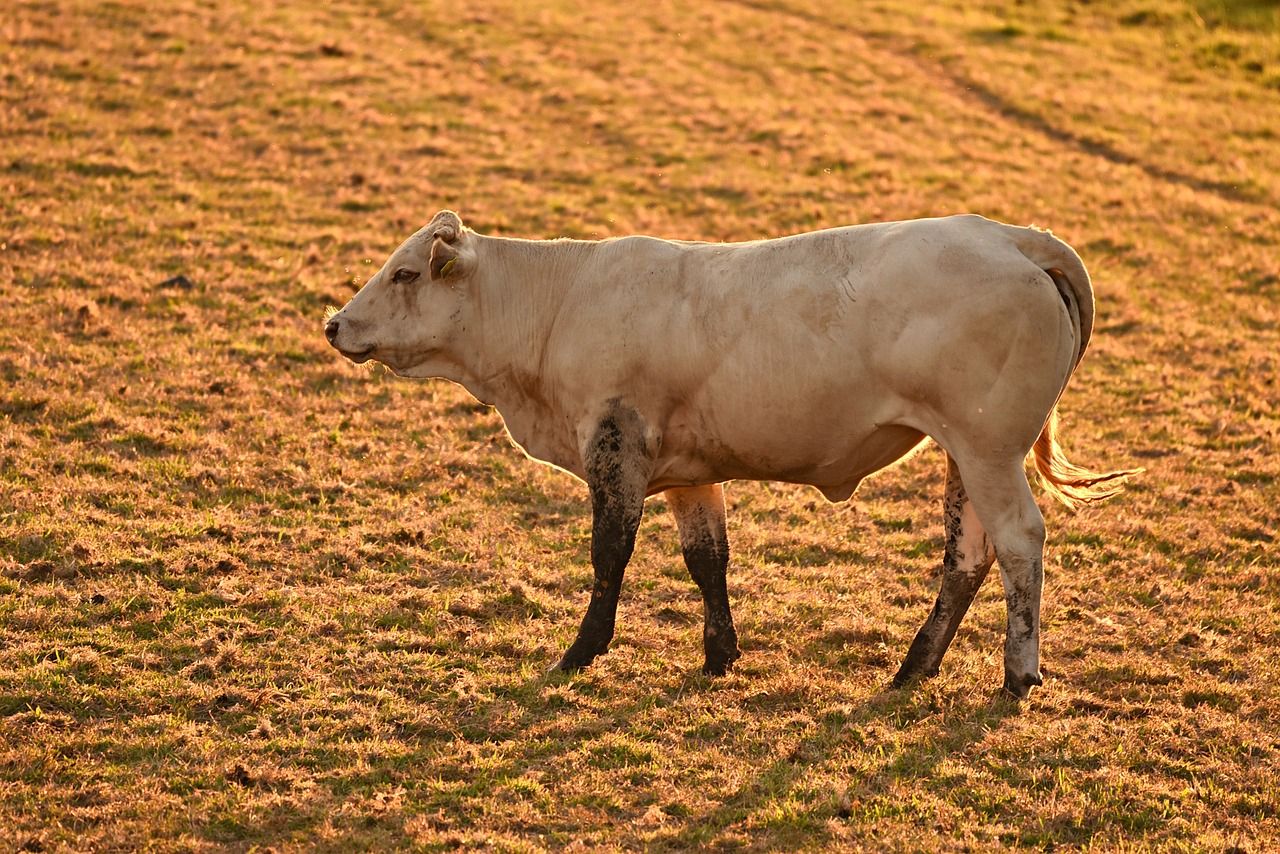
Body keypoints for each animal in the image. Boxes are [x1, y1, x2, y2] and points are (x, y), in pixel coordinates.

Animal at [325, 209, 1136, 696]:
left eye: (405, 272)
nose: (334, 324)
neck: (558, 302)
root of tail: (1011, 237)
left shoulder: (615, 445)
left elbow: (609, 554)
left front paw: (582, 650)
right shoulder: (691, 471)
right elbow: (706, 559)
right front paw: (720, 654)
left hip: (989, 449)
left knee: (1019, 542)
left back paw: (1018, 674)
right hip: (964, 454)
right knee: (968, 553)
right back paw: (914, 666)